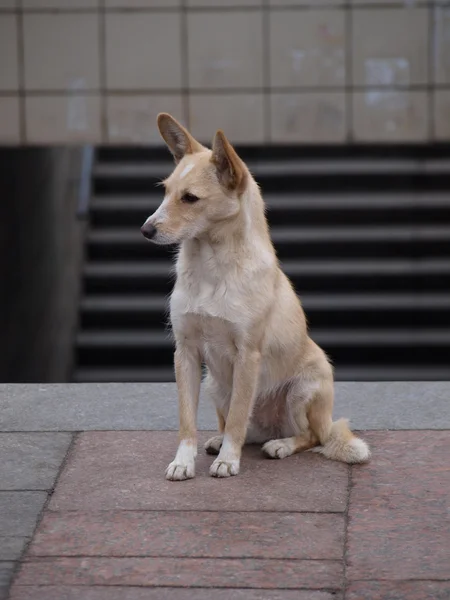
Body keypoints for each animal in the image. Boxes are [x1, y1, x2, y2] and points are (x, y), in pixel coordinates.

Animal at [142, 110, 370, 480]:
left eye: (190, 198)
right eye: (165, 191)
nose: (145, 230)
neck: (211, 269)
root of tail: (269, 428)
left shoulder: (247, 355)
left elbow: (238, 416)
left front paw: (228, 462)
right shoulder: (185, 353)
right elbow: (187, 421)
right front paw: (184, 461)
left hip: (303, 390)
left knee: (309, 436)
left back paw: (280, 445)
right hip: (214, 384)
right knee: (241, 427)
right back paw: (220, 441)